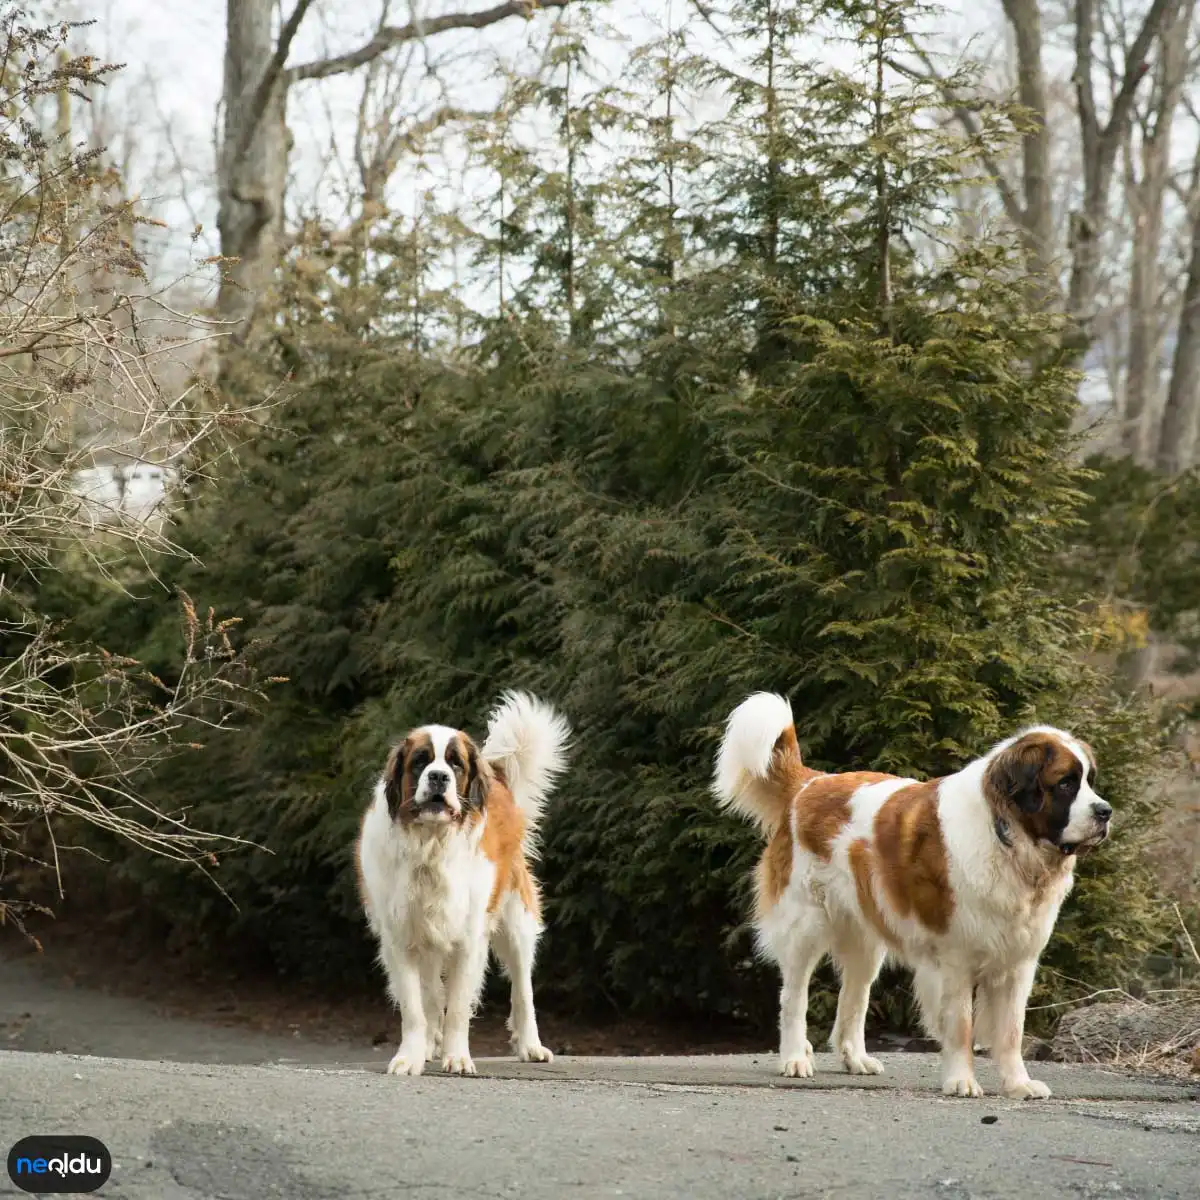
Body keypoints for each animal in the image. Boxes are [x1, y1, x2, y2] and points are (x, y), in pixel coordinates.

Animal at [352, 691, 568, 1075]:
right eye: (420, 762)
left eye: (455, 765)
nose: (438, 777)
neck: (430, 843)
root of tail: (497, 775)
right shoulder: (401, 938)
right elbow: (415, 1007)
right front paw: (410, 1056)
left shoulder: (469, 938)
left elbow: (458, 1008)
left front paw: (457, 1057)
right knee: (429, 995)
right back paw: (428, 1045)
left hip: (516, 918)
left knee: (522, 986)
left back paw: (530, 1045)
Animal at [710, 696, 1113, 1099]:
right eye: (1065, 784)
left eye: (1090, 782)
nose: (1105, 811)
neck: (1006, 837)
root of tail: (810, 783)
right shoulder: (956, 959)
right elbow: (961, 1026)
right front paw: (961, 1080)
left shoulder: (1018, 962)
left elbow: (1011, 1031)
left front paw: (1018, 1084)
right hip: (805, 927)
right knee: (794, 996)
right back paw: (795, 1058)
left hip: (866, 940)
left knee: (854, 997)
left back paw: (856, 1058)